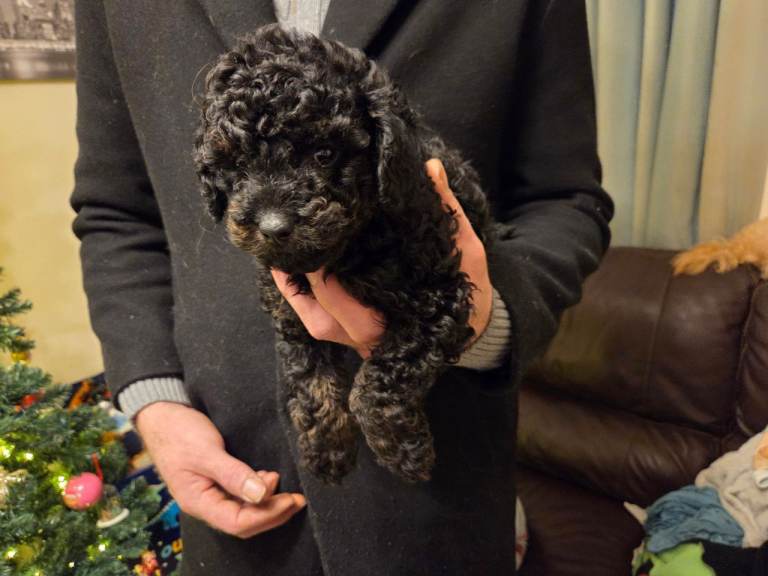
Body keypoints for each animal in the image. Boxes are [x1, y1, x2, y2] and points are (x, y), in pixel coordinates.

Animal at [194, 24, 492, 483]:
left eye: (324, 154)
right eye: (238, 165)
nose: (272, 226)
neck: (350, 248)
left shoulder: (440, 295)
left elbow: (380, 381)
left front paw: (403, 450)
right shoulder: (292, 314)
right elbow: (309, 379)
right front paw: (326, 449)